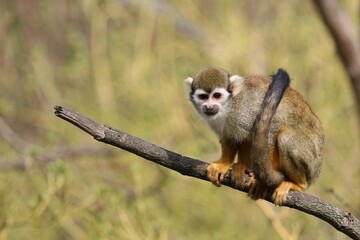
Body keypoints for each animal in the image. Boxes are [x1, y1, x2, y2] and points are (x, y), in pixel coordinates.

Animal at [186, 66, 324, 205]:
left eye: (217, 96)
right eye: (203, 97)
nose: (209, 106)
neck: (229, 106)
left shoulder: (246, 109)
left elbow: (274, 127)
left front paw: (262, 181)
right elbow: (230, 138)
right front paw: (223, 164)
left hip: (312, 162)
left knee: (285, 138)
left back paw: (298, 184)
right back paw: (243, 167)